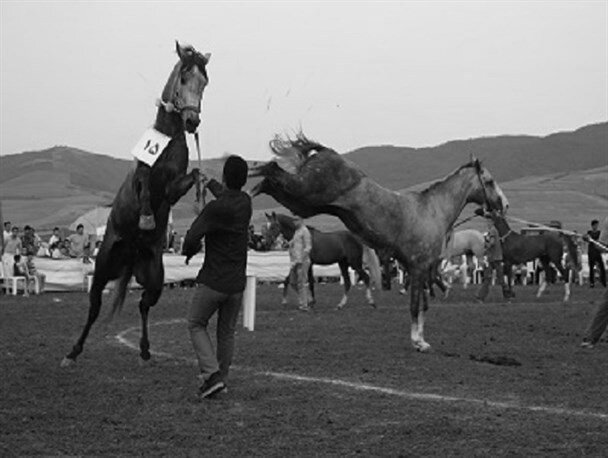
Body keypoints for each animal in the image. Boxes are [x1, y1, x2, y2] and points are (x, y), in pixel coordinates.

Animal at [60, 42, 210, 364]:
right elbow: (143, 190)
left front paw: (198, 198)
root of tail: (130, 255)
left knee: (143, 304)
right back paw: (73, 352)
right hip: (102, 268)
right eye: (183, 78)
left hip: (155, 279)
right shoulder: (143, 173)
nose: (192, 121)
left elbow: (193, 176)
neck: (167, 138)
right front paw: (146, 219)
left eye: (204, 83)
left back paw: (144, 349)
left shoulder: (172, 187)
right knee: (94, 307)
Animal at [248, 132, 508, 350]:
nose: (504, 205)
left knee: (271, 178)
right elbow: (415, 305)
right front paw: (417, 342)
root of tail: (326, 152)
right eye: (489, 181)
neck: (433, 211)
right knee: (271, 169)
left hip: (303, 203)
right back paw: (248, 178)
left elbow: (423, 305)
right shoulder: (417, 267)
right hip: (303, 194)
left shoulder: (423, 269)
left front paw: (422, 339)